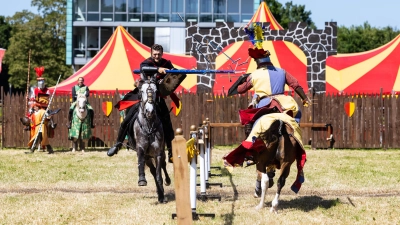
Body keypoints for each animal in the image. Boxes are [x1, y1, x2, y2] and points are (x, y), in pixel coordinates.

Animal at [135, 74, 171, 204]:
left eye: (156, 91)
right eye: (141, 91)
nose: (149, 111)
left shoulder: (158, 153)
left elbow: (159, 174)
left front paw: (162, 196)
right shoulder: (141, 150)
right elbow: (141, 161)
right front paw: (142, 180)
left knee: (163, 166)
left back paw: (166, 183)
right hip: (148, 158)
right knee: (152, 170)